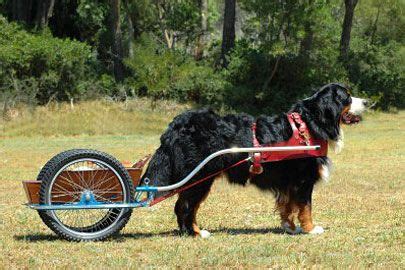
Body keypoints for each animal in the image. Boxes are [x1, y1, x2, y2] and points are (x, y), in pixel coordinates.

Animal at [141, 83, 366, 238]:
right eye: (347, 96)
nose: (367, 102)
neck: (309, 124)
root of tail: (175, 125)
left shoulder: (289, 183)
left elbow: (288, 206)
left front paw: (290, 227)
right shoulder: (303, 180)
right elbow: (305, 207)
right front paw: (310, 229)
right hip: (200, 177)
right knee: (185, 206)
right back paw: (196, 233)